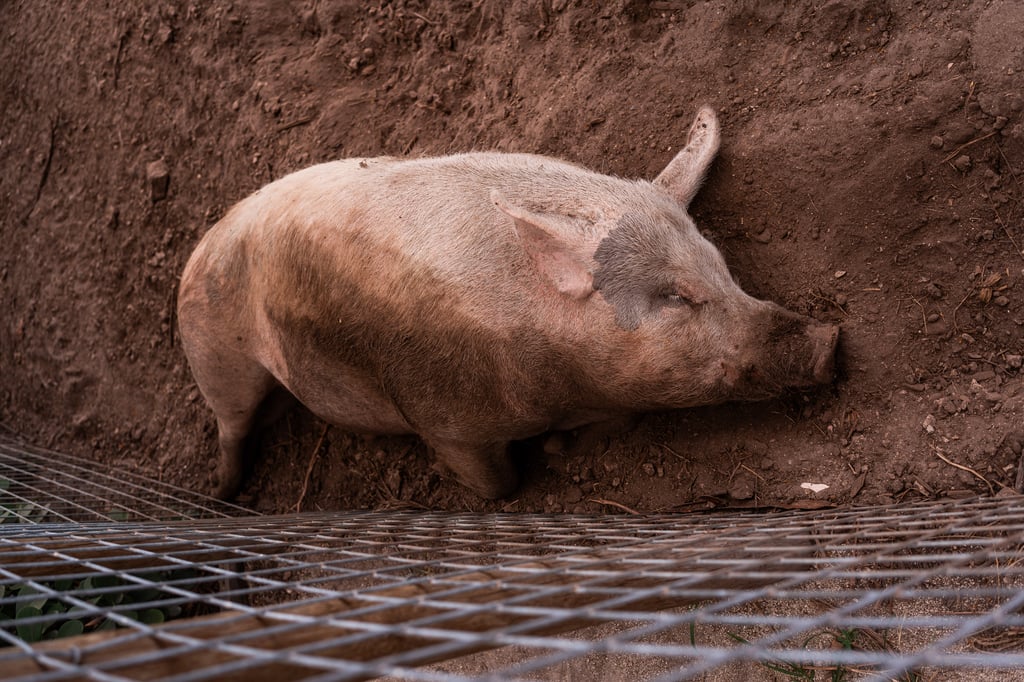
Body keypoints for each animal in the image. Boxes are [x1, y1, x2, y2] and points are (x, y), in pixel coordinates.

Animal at [177, 107, 838, 501]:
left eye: (721, 267)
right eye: (674, 297)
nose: (829, 341)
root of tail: (201, 244)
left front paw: (559, 448)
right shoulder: (443, 418)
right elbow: (499, 488)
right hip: (214, 352)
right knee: (231, 424)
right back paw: (222, 493)